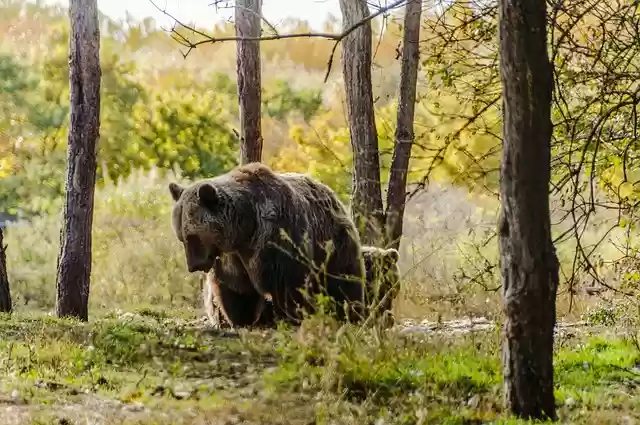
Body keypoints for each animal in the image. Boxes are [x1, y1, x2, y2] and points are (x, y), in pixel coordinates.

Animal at [169, 162, 366, 325]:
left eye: (193, 236)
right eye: (181, 237)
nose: (194, 265)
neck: (244, 229)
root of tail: (331, 193)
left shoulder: (276, 236)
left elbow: (288, 283)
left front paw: (291, 316)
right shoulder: (231, 256)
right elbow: (236, 287)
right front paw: (241, 317)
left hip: (333, 243)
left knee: (343, 281)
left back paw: (350, 312)